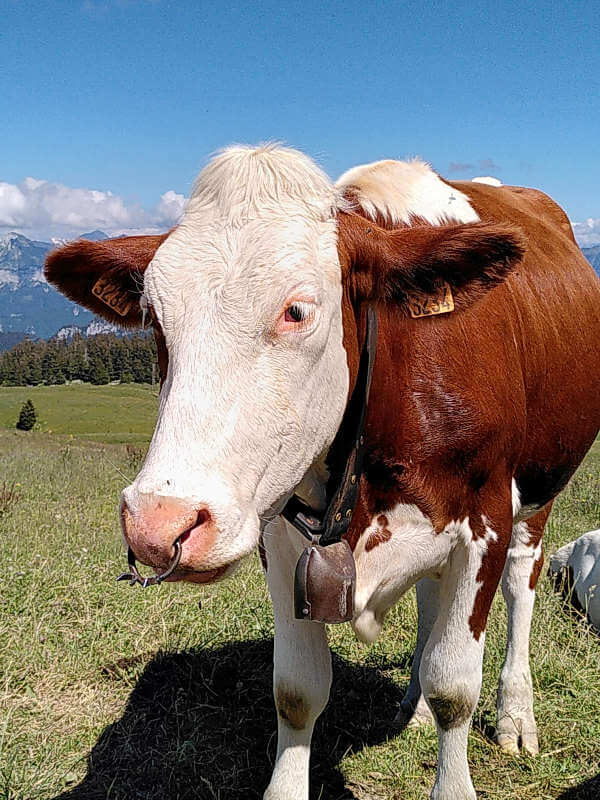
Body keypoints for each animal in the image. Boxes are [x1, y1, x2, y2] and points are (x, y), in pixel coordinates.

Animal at [45, 145, 600, 800]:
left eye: (297, 311)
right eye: (156, 318)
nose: (158, 526)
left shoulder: (484, 518)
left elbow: (455, 688)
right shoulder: (280, 532)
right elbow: (297, 690)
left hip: (538, 494)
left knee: (520, 584)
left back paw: (515, 714)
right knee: (430, 596)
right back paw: (412, 704)